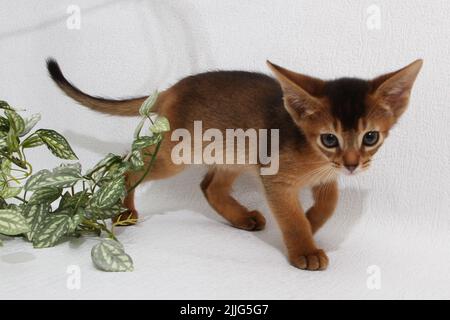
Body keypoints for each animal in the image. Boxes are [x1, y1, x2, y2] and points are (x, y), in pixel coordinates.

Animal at [45, 58, 422, 270]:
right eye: (329, 139)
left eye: (370, 137)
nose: (353, 165)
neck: (316, 159)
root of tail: (172, 89)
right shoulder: (275, 178)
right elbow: (291, 217)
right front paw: (304, 248)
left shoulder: (326, 177)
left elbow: (330, 203)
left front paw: (312, 225)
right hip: (175, 155)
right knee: (129, 164)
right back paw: (125, 210)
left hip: (233, 154)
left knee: (208, 185)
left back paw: (242, 218)